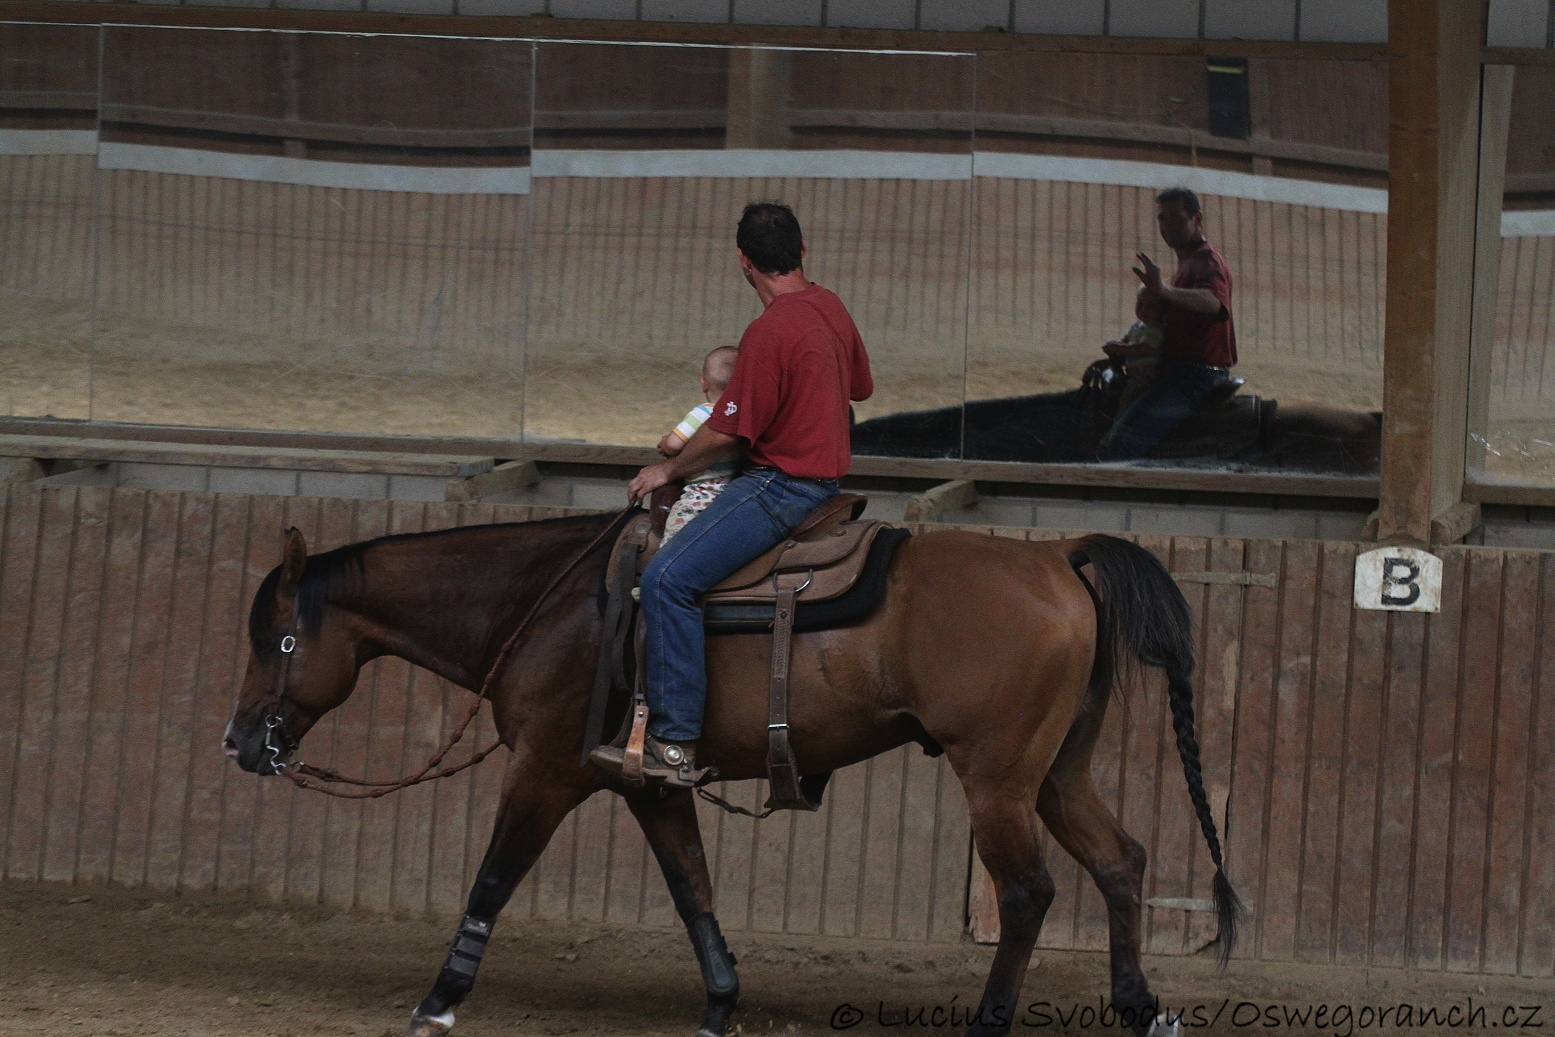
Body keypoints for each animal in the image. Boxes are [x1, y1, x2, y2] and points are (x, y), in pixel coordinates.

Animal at [222, 509, 1237, 1037]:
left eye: (278, 638)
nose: (238, 743)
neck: (552, 605)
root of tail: (1055, 553)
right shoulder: (649, 782)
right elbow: (692, 888)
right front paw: (720, 1002)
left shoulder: (545, 771)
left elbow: (494, 879)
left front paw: (439, 999)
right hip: (1057, 771)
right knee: (1120, 860)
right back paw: (1140, 1007)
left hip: (997, 778)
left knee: (1027, 891)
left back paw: (992, 1020)